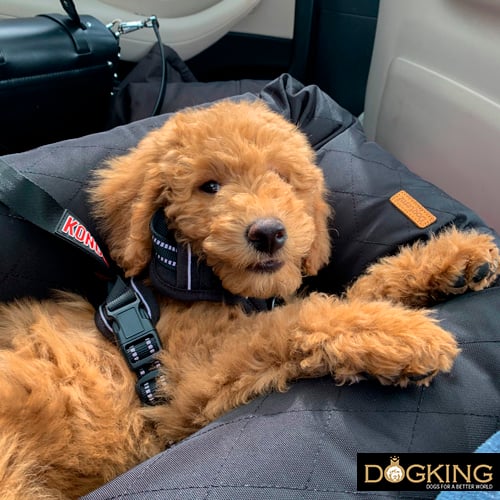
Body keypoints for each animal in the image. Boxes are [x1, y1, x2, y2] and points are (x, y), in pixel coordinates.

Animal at [0, 99, 500, 498]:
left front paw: (457, 260)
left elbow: (349, 292)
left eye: (282, 177)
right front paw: (403, 336)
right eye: (210, 186)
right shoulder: (192, 390)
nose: (268, 233)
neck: (205, 284)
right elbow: (297, 318)